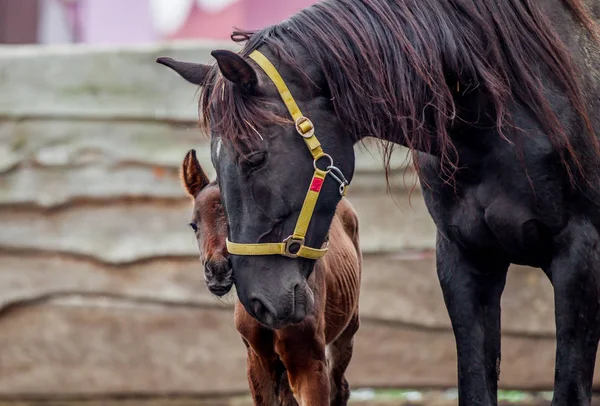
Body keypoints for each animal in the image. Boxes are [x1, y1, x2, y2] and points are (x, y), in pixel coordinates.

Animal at [180, 150, 360, 406]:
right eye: (194, 225)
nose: (217, 270)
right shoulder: (257, 358)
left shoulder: (310, 361)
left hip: (346, 331)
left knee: (340, 387)